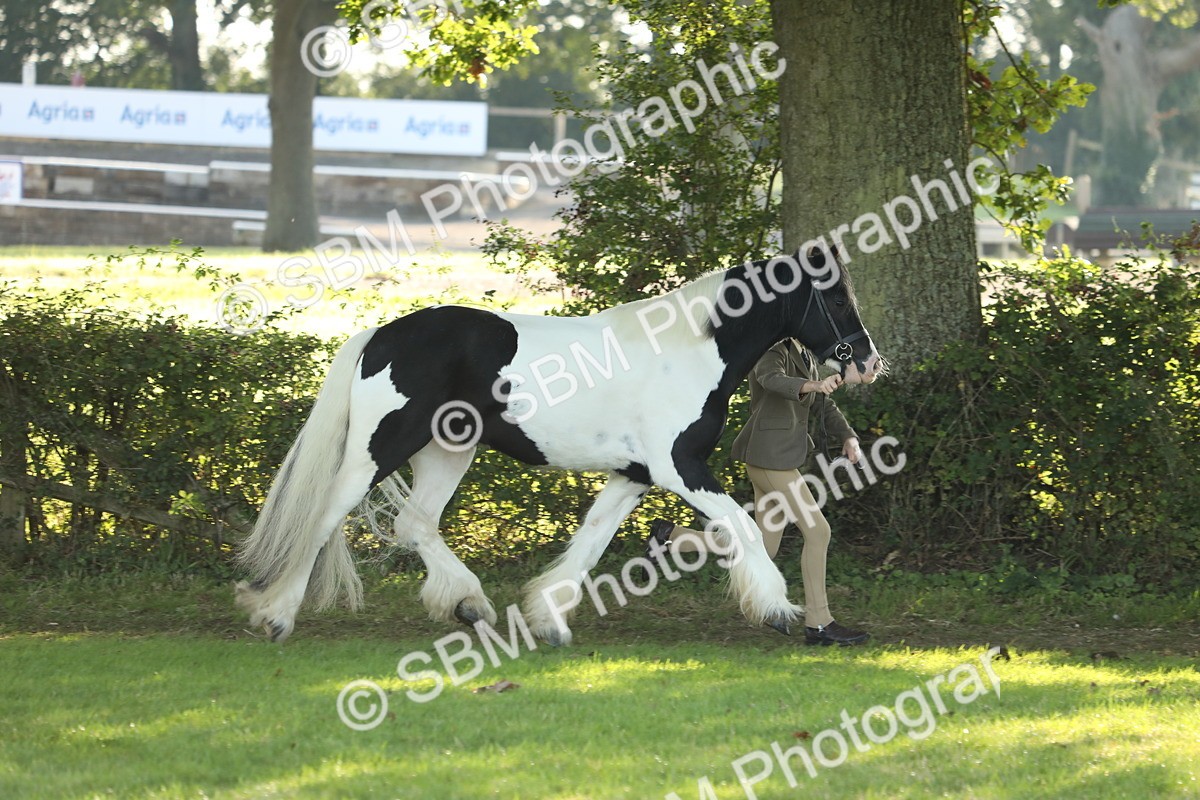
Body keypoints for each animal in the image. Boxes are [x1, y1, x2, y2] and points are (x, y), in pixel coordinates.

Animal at [235, 246, 883, 645]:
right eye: (836, 297)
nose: (868, 363)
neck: (691, 348)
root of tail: (380, 335)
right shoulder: (679, 467)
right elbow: (743, 526)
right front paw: (776, 609)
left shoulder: (634, 474)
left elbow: (590, 543)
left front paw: (548, 620)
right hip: (380, 447)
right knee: (325, 515)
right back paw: (275, 615)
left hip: (448, 452)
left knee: (415, 524)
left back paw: (469, 604)